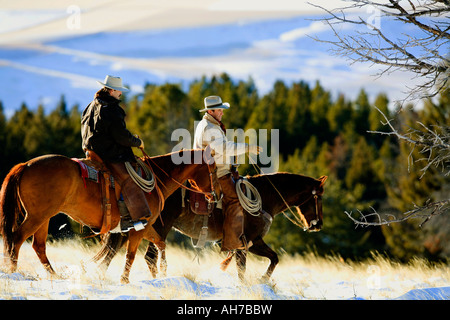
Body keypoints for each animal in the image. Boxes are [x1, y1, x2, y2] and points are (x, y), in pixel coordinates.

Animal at [0, 148, 220, 278]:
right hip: (37, 216)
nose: (216, 194)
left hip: (44, 218)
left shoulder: (145, 226)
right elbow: (131, 255)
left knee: (38, 246)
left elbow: (159, 243)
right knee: (16, 238)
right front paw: (124, 280)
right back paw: (13, 271)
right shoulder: (139, 227)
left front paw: (163, 271)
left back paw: (54, 275)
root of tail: (26, 165)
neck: (158, 178)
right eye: (214, 168)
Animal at [95, 172, 326, 280]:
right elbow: (248, 266)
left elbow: (270, 259)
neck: (263, 197)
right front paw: (260, 280)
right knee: (150, 257)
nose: (318, 224)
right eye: (319, 198)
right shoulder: (250, 242)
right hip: (161, 228)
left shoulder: (249, 244)